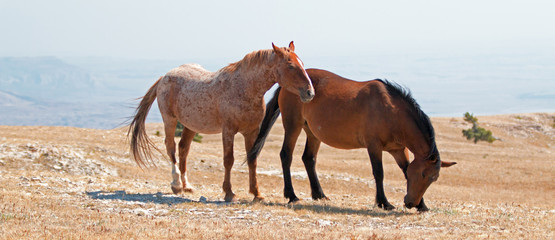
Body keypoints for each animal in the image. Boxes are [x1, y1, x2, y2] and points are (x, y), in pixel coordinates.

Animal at [127, 42, 314, 202]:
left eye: (302, 63)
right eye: (290, 66)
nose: (310, 92)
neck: (244, 88)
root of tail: (164, 77)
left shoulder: (251, 131)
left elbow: (252, 160)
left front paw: (257, 193)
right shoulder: (228, 131)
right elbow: (228, 160)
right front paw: (229, 193)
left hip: (190, 125)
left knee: (183, 149)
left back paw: (187, 186)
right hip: (170, 120)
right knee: (171, 147)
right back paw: (177, 185)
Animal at [249, 68, 456, 211]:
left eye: (433, 178)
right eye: (423, 175)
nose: (411, 203)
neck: (391, 110)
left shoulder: (398, 149)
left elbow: (405, 171)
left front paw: (423, 205)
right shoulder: (374, 146)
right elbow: (379, 173)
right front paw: (384, 203)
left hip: (313, 133)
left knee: (308, 159)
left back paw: (319, 194)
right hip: (293, 125)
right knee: (286, 155)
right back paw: (291, 195)